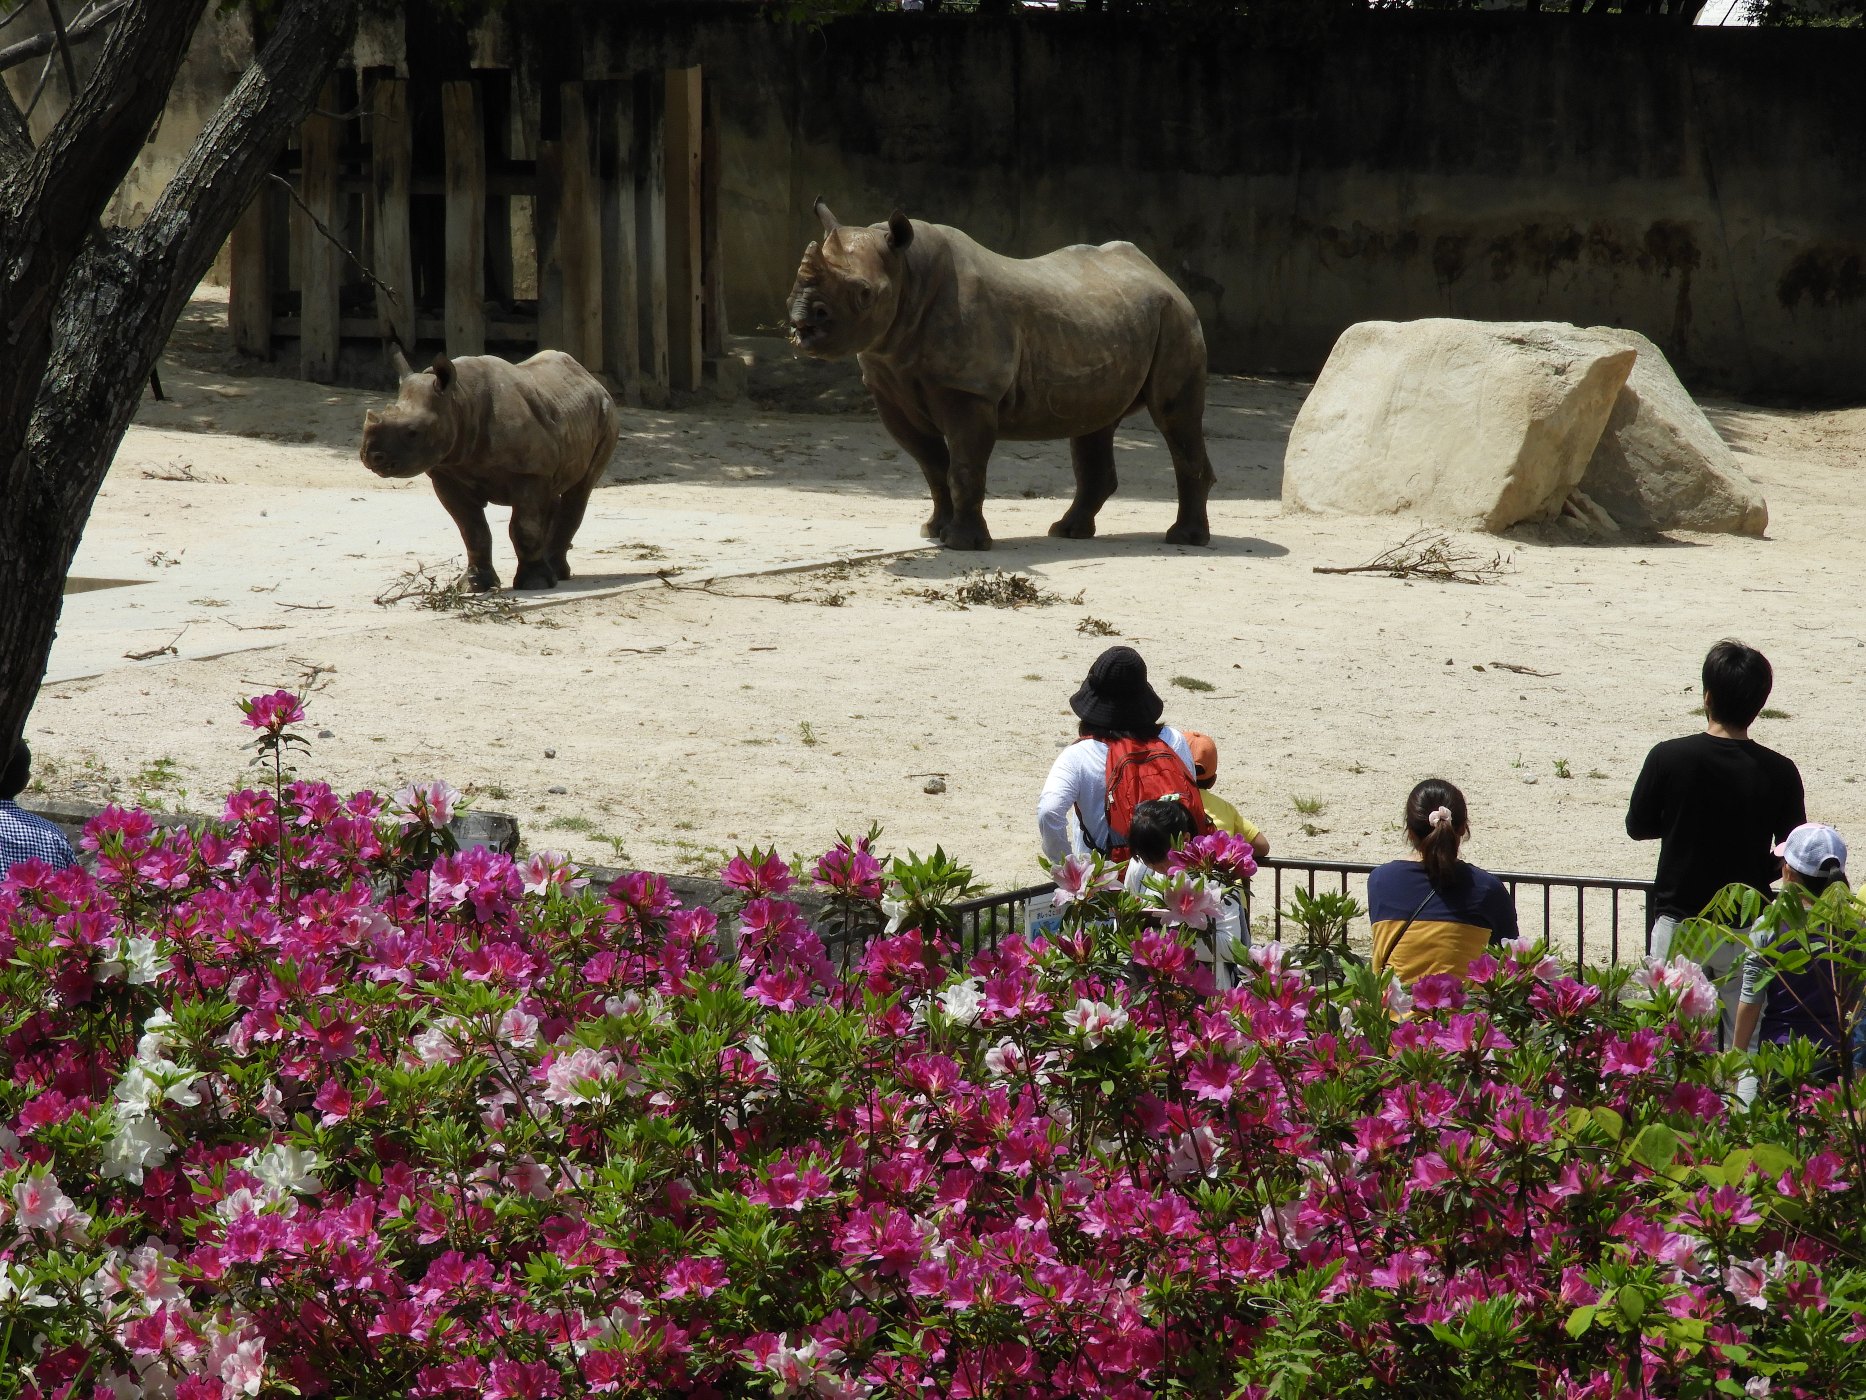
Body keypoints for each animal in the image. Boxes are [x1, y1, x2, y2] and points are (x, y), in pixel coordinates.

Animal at [360, 348, 620, 591]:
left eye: (413, 433)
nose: (369, 457)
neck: (460, 400)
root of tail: (590, 378)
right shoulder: (447, 472)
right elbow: (472, 530)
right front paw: (474, 585)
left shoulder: (529, 472)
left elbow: (524, 528)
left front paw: (535, 583)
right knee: (552, 492)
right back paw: (552, 571)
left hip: (606, 416)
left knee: (580, 490)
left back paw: (555, 573)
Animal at [786, 201, 1215, 550]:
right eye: (794, 285)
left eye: (864, 294)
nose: (802, 320)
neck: (908, 274)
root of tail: (1160, 274)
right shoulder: (889, 389)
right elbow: (932, 465)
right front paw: (934, 531)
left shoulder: (970, 389)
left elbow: (963, 466)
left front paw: (963, 544)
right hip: (1115, 317)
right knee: (1095, 422)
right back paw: (1067, 532)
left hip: (1177, 318)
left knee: (1173, 416)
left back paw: (1185, 539)